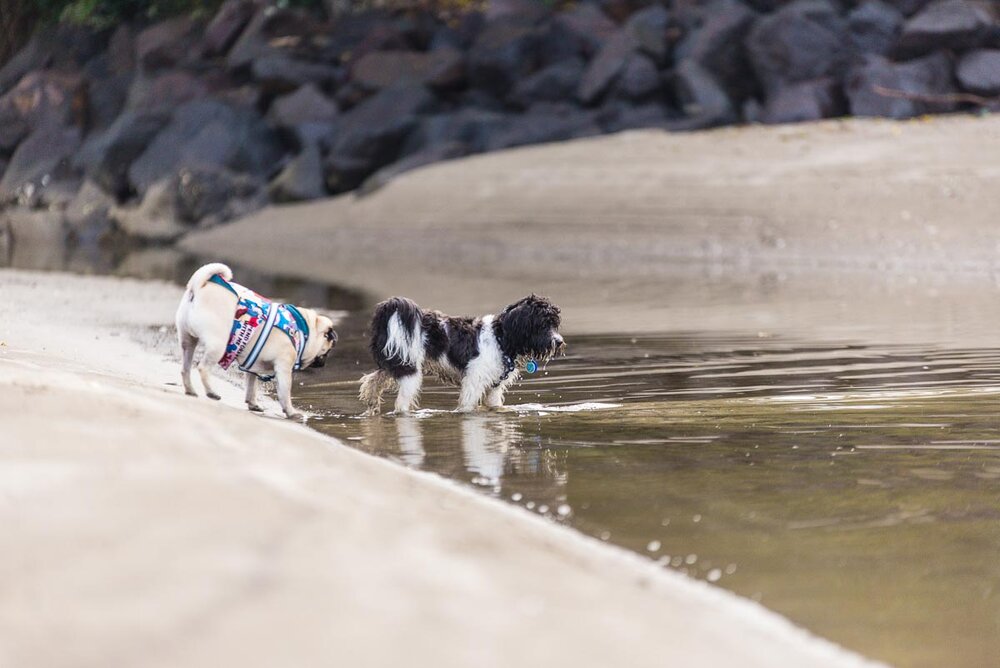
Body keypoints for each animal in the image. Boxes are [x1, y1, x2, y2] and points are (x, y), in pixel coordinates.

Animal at [176, 260, 336, 418]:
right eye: (327, 351)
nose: (324, 362)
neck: (304, 331)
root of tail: (198, 286)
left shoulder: (251, 366)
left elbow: (251, 386)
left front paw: (253, 404)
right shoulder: (284, 367)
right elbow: (285, 393)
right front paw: (291, 412)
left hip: (188, 342)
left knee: (185, 368)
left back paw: (190, 390)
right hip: (218, 345)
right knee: (203, 368)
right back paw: (211, 393)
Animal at [360, 296, 564, 414]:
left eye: (555, 324)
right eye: (542, 325)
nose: (560, 341)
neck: (501, 338)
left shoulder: (494, 387)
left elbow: (495, 405)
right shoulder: (473, 382)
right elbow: (467, 407)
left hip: (394, 361)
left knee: (372, 381)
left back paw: (371, 405)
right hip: (409, 370)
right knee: (400, 405)